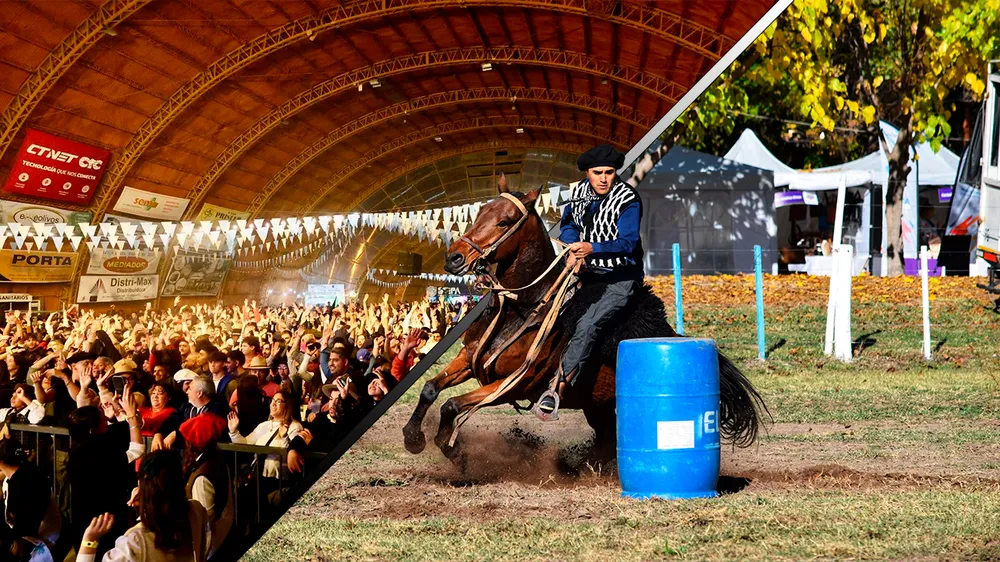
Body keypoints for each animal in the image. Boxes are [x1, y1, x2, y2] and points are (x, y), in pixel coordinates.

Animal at [402, 174, 767, 463]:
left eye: (505, 221)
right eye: (480, 212)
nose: (454, 258)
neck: (524, 307)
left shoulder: (512, 386)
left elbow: (452, 405)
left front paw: (450, 449)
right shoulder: (469, 359)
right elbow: (431, 389)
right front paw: (413, 437)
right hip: (598, 407)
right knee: (606, 440)